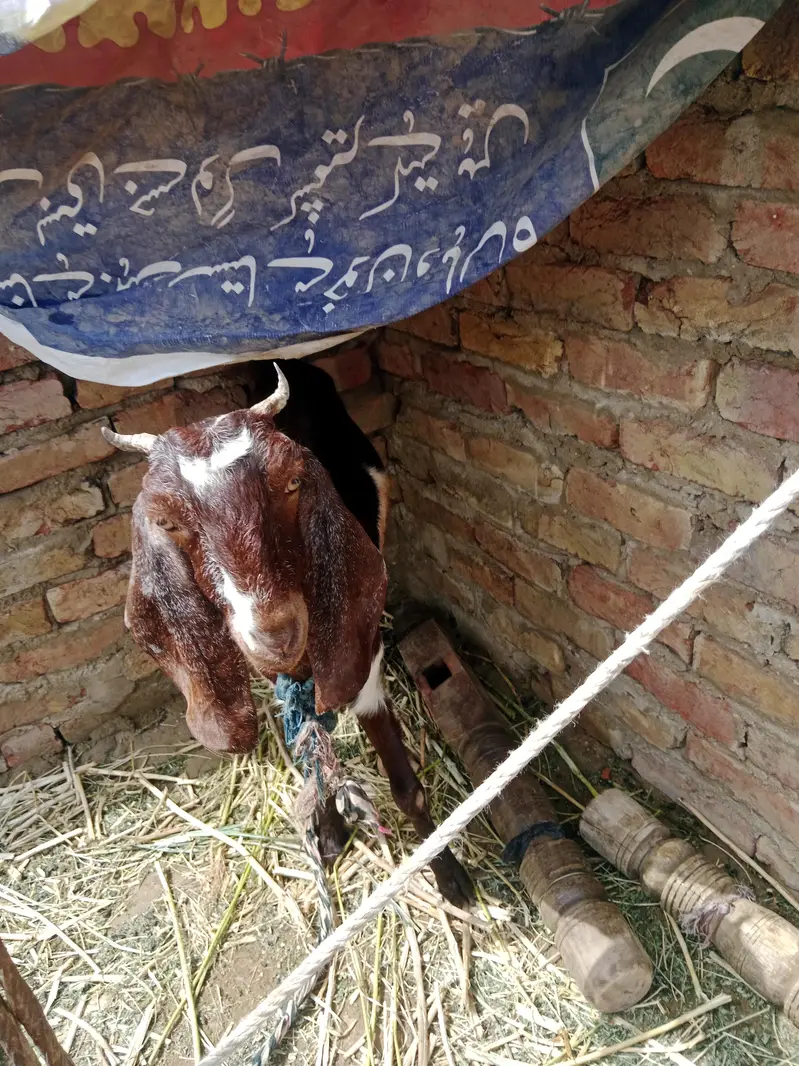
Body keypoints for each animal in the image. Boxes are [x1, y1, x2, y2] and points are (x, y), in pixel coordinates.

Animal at [102, 358, 472, 906]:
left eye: (294, 480)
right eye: (166, 521)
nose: (275, 632)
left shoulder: (361, 658)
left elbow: (407, 787)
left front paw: (449, 875)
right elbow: (310, 743)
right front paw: (330, 832)